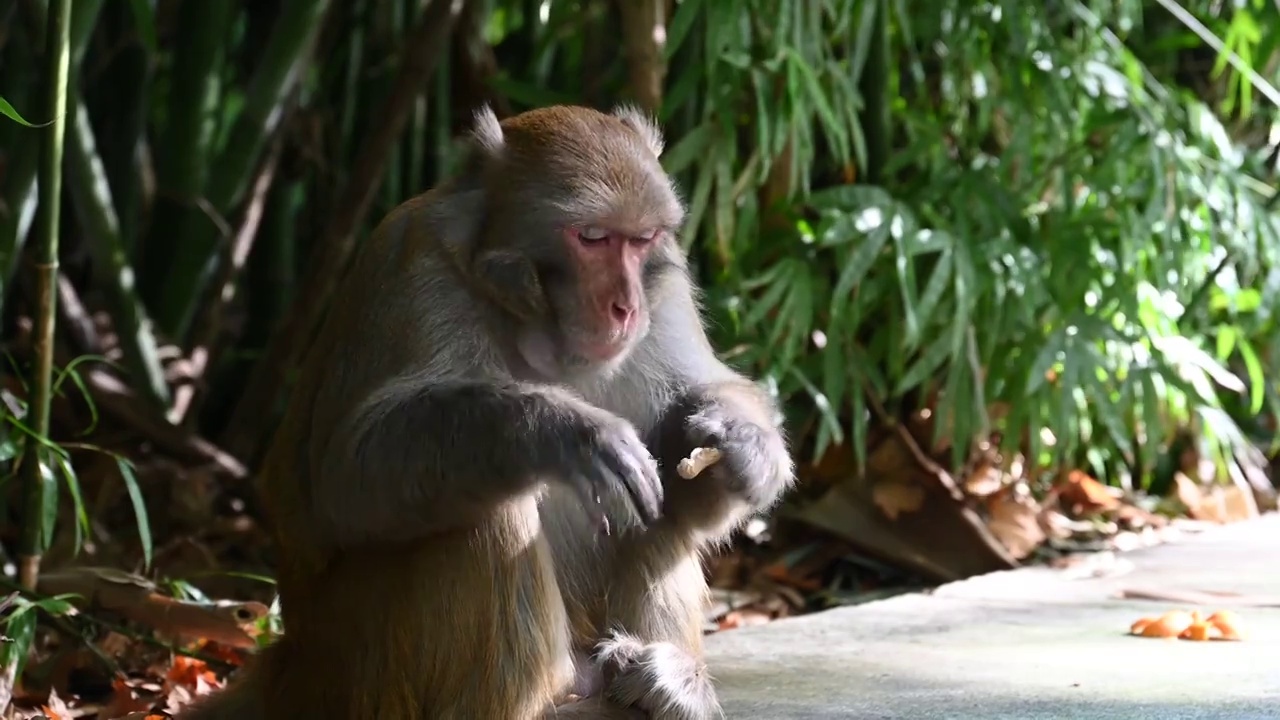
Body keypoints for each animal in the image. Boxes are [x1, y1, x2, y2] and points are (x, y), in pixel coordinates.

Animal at [175, 102, 793, 717]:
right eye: (592, 238)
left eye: (642, 240)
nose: (625, 306)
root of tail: (295, 662)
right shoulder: (413, 270)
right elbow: (347, 472)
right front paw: (566, 432)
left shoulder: (666, 291)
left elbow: (688, 439)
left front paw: (744, 447)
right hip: (358, 668)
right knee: (490, 512)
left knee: (655, 506)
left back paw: (661, 679)